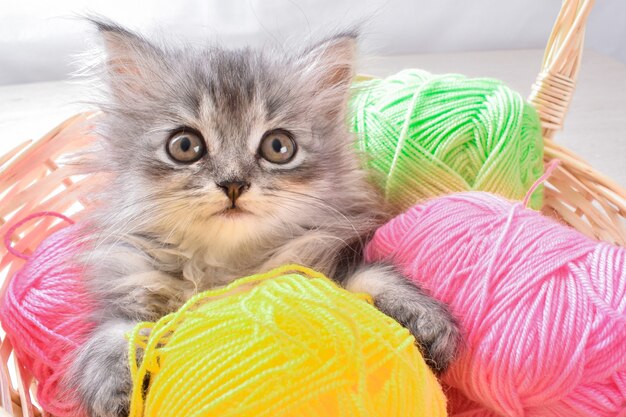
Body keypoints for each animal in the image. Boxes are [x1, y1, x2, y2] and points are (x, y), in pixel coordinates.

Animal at [69, 18, 458, 416]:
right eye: (185, 145)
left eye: (278, 146)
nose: (233, 183)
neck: (230, 267)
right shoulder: (128, 284)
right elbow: (115, 332)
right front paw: (117, 387)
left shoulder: (329, 260)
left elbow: (371, 273)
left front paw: (421, 319)